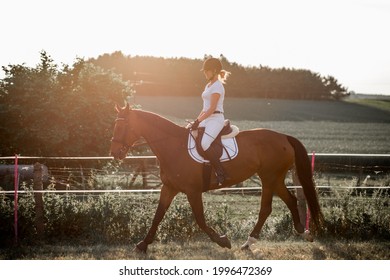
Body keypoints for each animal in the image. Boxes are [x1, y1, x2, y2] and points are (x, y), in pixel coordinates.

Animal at [109, 104, 322, 253]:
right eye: (115, 125)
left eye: (124, 126)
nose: (115, 153)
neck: (173, 146)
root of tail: (284, 137)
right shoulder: (169, 188)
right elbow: (157, 216)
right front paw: (143, 244)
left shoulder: (193, 191)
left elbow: (200, 220)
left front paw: (223, 241)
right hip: (275, 178)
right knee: (290, 200)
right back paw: (304, 233)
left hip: (269, 177)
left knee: (266, 209)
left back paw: (249, 242)